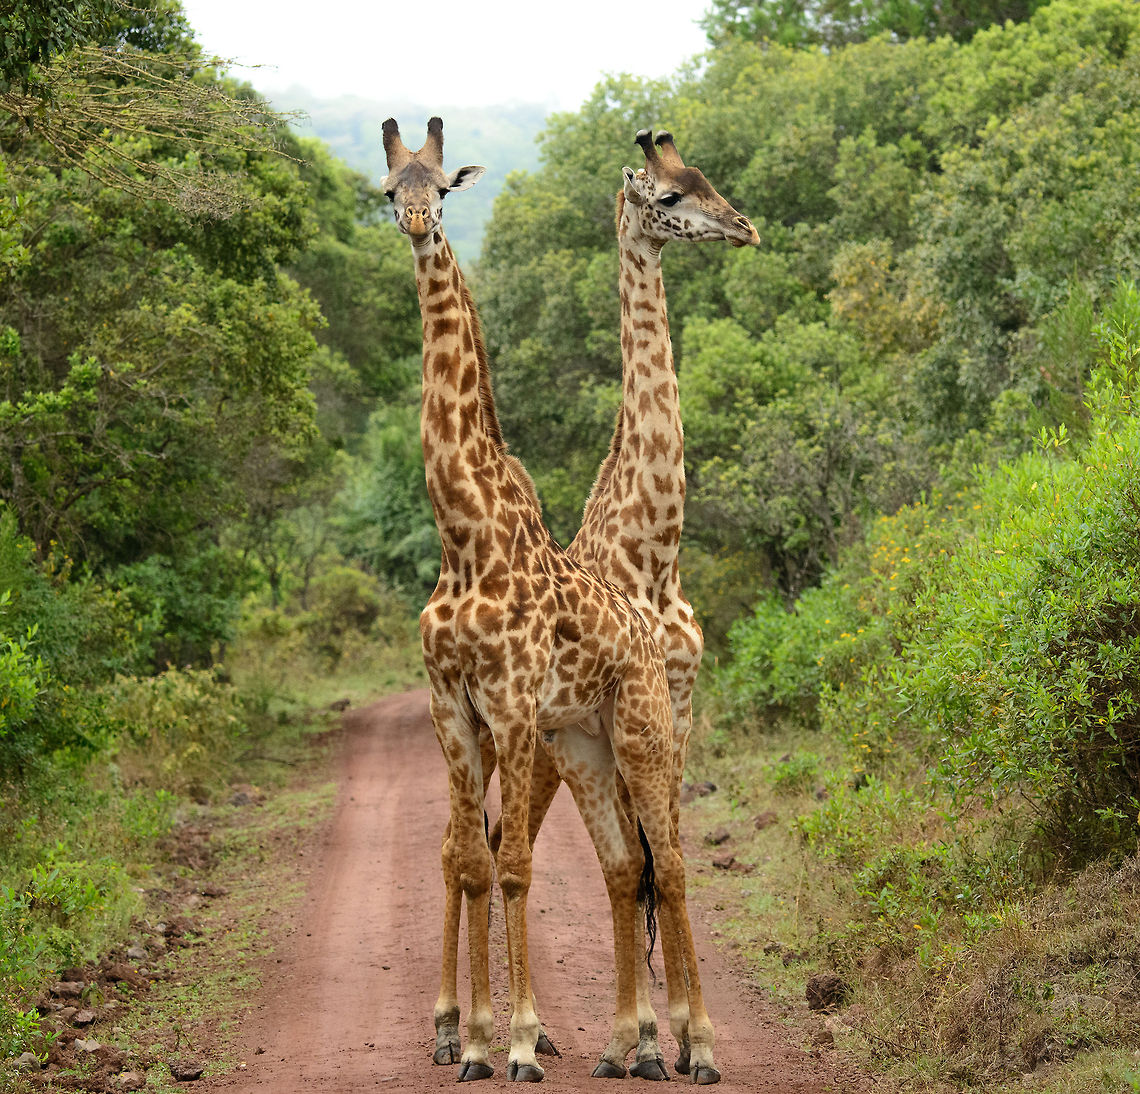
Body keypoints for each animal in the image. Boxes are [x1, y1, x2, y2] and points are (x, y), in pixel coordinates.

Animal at [381, 116, 720, 1084]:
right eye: (386, 190)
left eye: (440, 190)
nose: (417, 223)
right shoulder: (456, 705)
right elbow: (483, 860)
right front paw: (482, 1039)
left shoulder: (530, 705)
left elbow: (528, 867)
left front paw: (529, 1041)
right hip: (568, 743)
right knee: (515, 852)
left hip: (621, 731)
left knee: (652, 860)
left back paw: (678, 1046)